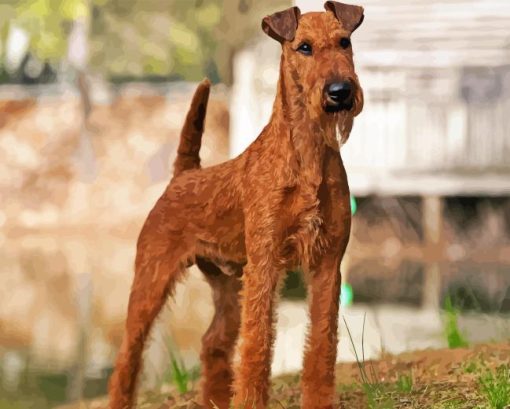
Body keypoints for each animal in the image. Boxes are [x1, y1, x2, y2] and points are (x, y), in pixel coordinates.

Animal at [108, 3, 362, 408]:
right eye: (304, 47)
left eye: (344, 42)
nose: (341, 91)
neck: (306, 156)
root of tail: (183, 174)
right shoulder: (264, 265)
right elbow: (257, 345)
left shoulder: (327, 265)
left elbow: (322, 344)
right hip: (151, 281)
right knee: (126, 359)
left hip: (227, 284)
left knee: (212, 342)